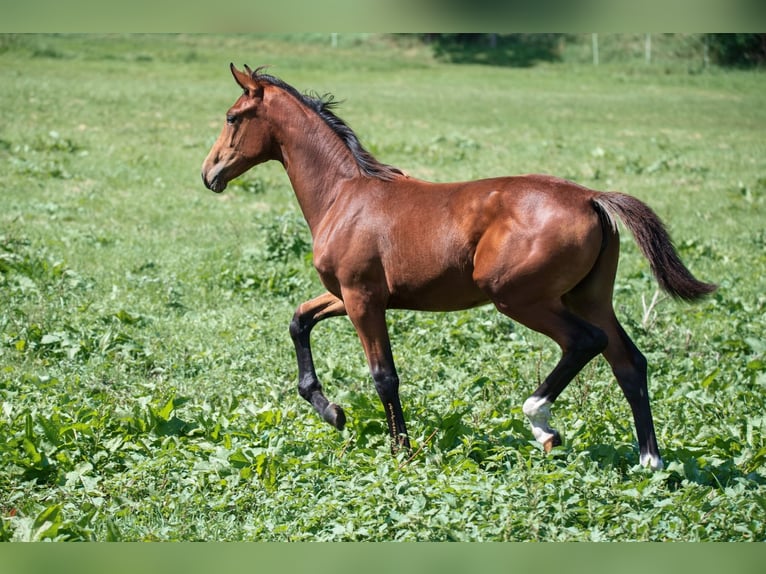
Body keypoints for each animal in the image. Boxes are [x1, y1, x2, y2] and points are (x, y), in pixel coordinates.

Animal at [201, 64, 716, 472]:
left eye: (231, 117)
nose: (209, 173)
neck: (344, 195)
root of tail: (592, 197)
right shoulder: (347, 294)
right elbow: (299, 320)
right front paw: (332, 412)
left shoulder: (363, 298)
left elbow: (384, 375)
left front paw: (401, 451)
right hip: (588, 297)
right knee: (628, 360)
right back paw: (650, 460)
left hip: (519, 297)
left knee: (586, 342)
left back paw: (542, 424)